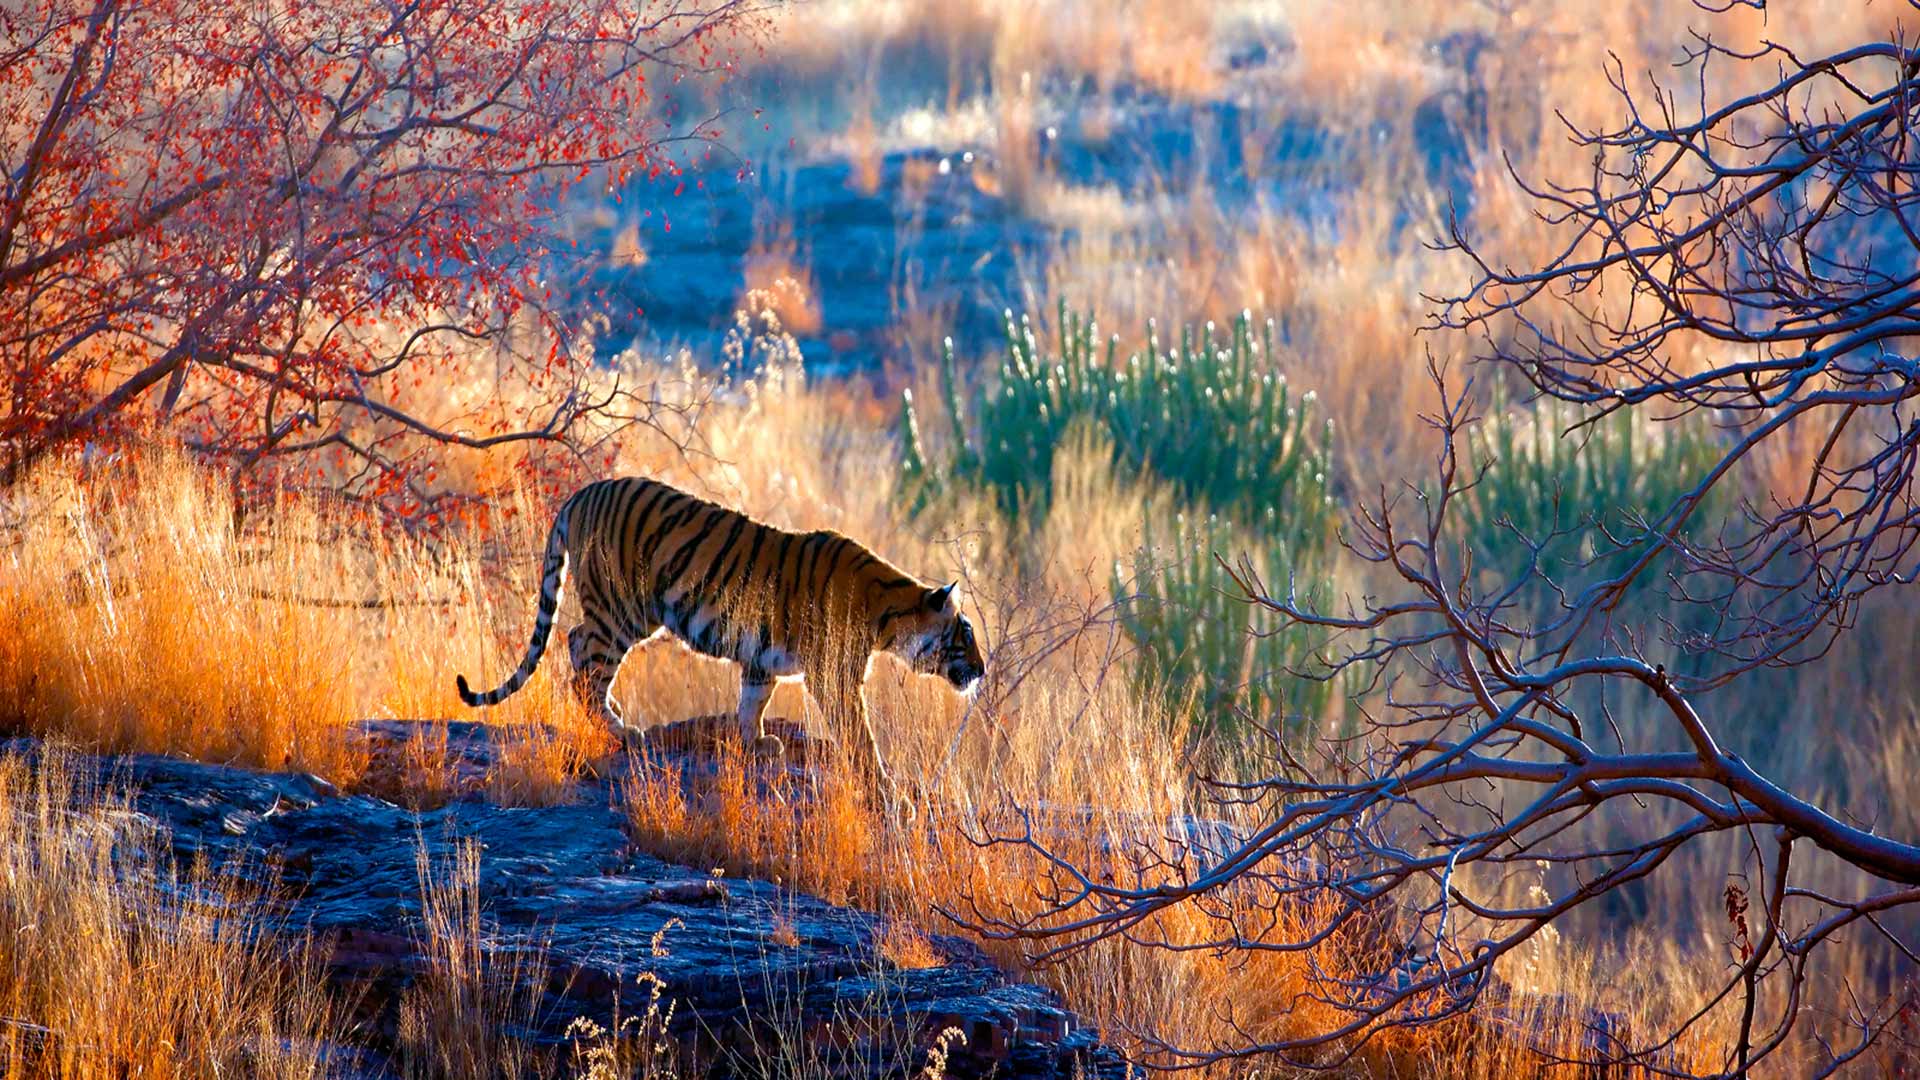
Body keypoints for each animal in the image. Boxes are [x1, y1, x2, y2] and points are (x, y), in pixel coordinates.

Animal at [455, 476, 983, 791]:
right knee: (583, 655)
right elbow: (861, 735)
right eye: (966, 634)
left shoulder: (761, 661)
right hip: (622, 608)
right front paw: (890, 791)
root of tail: (582, 493)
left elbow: (753, 703)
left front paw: (758, 743)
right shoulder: (835, 678)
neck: (889, 617)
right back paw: (620, 727)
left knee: (575, 645)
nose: (981, 670)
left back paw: (615, 713)